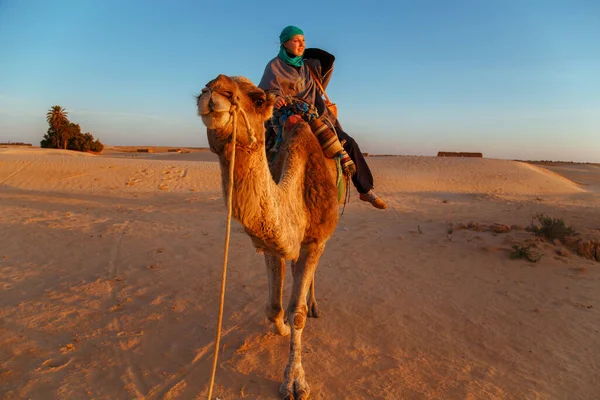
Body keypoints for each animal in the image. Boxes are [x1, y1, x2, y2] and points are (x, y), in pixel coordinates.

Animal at [198, 74, 342, 396]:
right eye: (203, 87)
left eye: (258, 99)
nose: (215, 90)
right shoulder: (271, 244)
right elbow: (274, 307)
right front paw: (283, 328)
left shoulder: (315, 239)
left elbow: (297, 311)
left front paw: (295, 381)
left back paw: (314, 305)